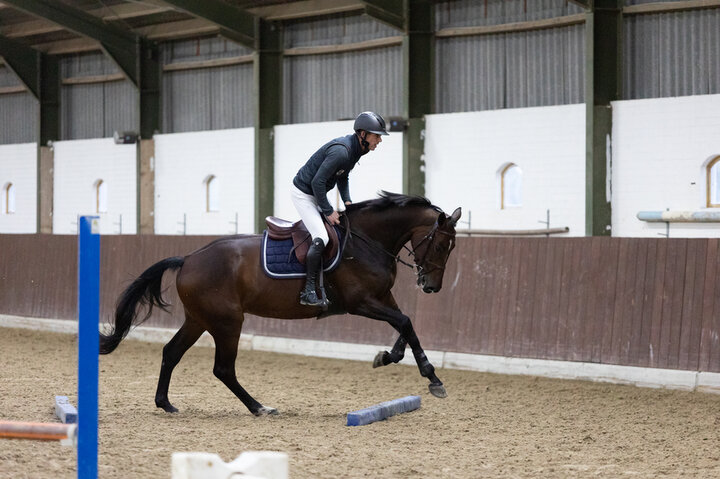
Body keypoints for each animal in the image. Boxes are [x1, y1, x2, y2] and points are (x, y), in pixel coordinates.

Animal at [99, 191, 461, 416]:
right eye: (441, 245)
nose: (431, 286)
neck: (367, 240)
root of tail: (188, 259)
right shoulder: (362, 302)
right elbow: (405, 322)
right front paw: (433, 378)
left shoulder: (383, 297)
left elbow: (405, 324)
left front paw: (387, 356)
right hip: (227, 322)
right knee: (223, 369)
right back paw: (260, 407)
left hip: (199, 319)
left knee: (171, 353)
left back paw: (166, 403)